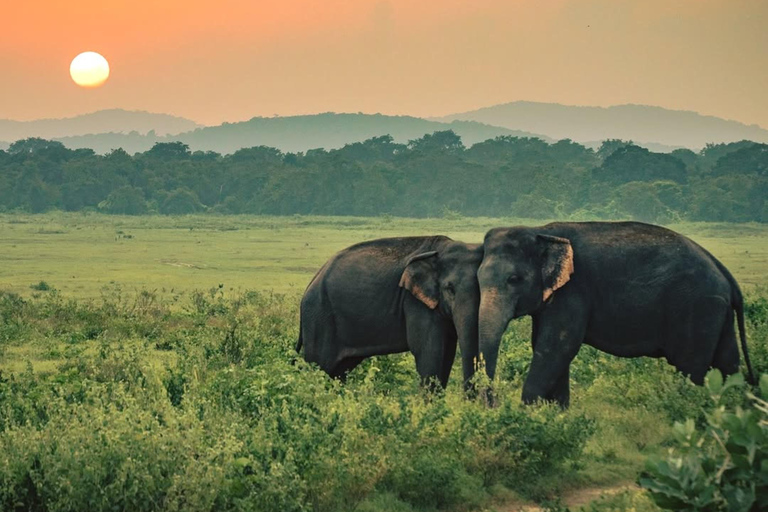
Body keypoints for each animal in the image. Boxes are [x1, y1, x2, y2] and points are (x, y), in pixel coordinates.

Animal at [296, 236, 483, 389]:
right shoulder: (414, 302)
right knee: (319, 366)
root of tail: (311, 283)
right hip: (319, 318)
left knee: (338, 371)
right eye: (449, 289)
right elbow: (429, 351)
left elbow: (447, 353)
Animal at [477, 221, 756, 408]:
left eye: (514, 279)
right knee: (727, 362)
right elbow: (548, 347)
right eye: (477, 279)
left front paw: (529, 411)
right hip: (717, 311)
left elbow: (557, 347)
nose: (494, 403)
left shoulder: (574, 291)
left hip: (698, 308)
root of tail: (724, 272)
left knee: (690, 367)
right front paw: (556, 413)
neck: (541, 231)